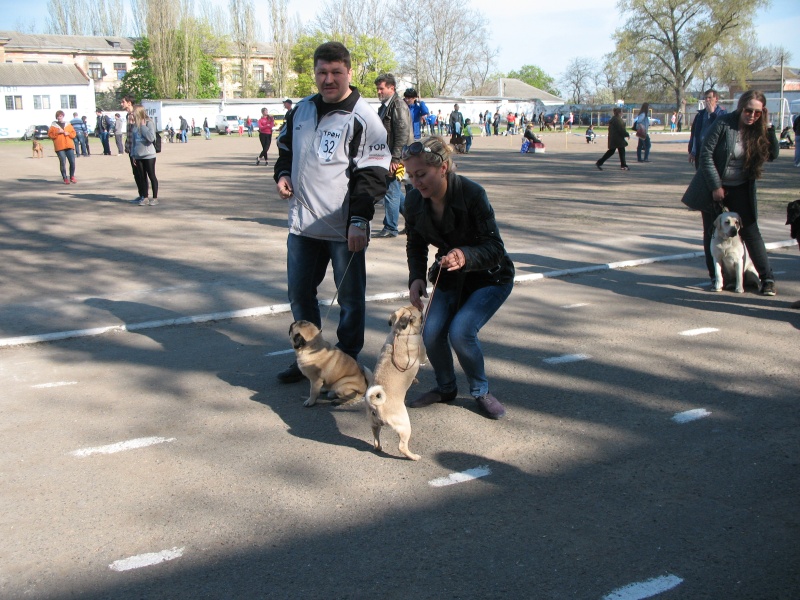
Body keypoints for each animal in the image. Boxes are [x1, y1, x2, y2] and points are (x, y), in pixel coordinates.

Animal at [365, 306, 426, 461]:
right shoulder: (423, 352)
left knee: (376, 440)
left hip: (374, 425)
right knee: (401, 447)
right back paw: (413, 457)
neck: (399, 333)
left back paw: (379, 448)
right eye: (420, 314)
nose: (421, 306)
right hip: (404, 426)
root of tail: (376, 404)